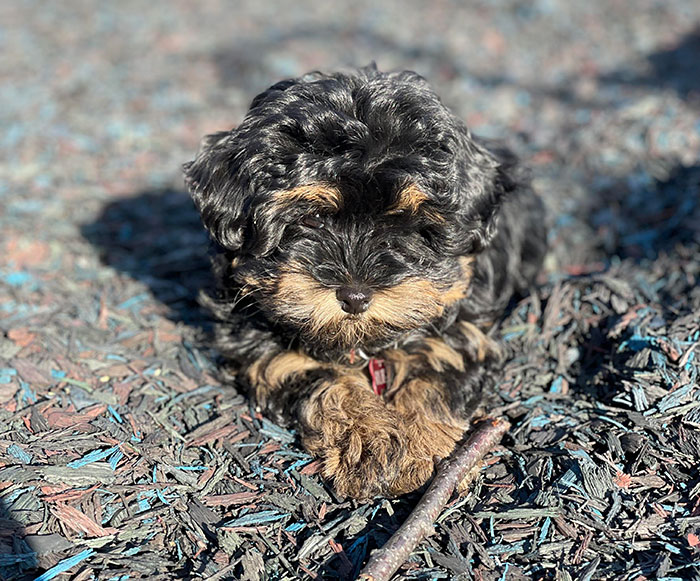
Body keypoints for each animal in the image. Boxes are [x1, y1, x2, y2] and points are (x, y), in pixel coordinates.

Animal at [183, 64, 544, 498]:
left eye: (403, 225)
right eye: (311, 219)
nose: (355, 296)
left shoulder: (461, 332)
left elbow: (434, 377)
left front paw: (416, 449)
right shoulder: (266, 349)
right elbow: (327, 382)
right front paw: (370, 442)